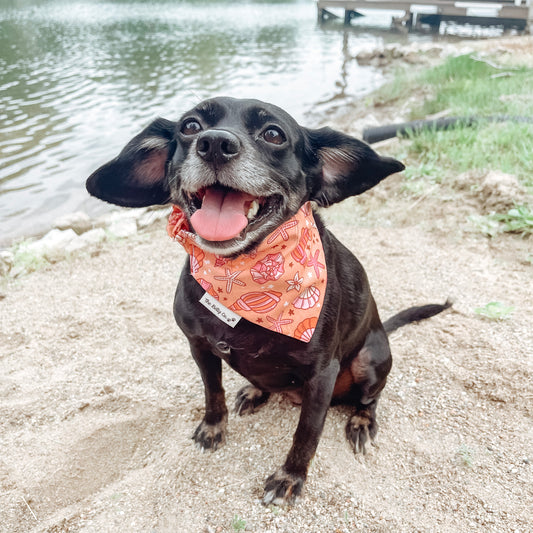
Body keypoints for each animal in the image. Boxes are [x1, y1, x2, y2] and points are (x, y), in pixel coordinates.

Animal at [87, 97, 448, 504]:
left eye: (273, 134)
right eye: (190, 126)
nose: (214, 144)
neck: (241, 278)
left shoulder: (322, 374)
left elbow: (307, 433)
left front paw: (290, 477)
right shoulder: (200, 348)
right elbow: (213, 393)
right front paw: (213, 427)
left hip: (369, 359)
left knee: (370, 398)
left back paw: (360, 421)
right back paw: (254, 390)